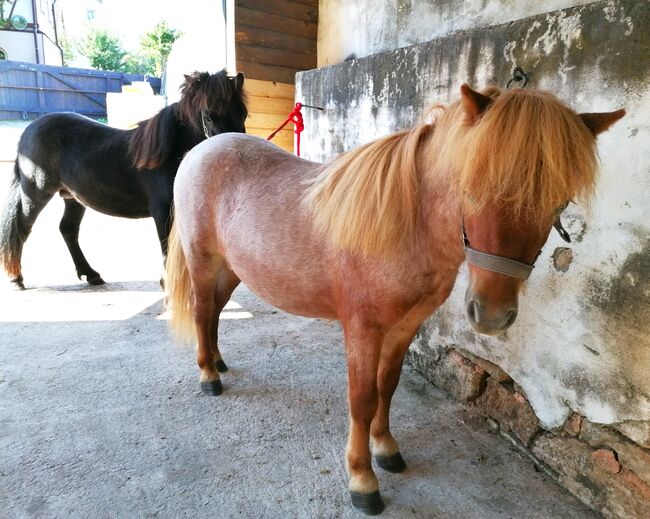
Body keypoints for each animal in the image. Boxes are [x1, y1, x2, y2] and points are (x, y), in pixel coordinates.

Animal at [0, 69, 246, 290]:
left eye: (243, 113)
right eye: (208, 116)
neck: (170, 154)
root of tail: (29, 131)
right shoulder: (162, 210)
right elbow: (167, 250)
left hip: (72, 198)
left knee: (67, 229)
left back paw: (90, 274)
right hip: (35, 194)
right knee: (21, 229)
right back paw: (16, 278)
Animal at [165, 85, 620, 516]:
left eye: (559, 202)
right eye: (472, 187)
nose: (491, 313)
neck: (408, 227)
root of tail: (205, 149)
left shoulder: (405, 326)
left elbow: (388, 386)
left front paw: (385, 448)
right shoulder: (363, 330)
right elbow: (362, 399)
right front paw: (362, 479)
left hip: (231, 269)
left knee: (215, 312)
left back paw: (219, 361)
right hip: (204, 262)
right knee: (203, 310)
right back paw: (209, 375)